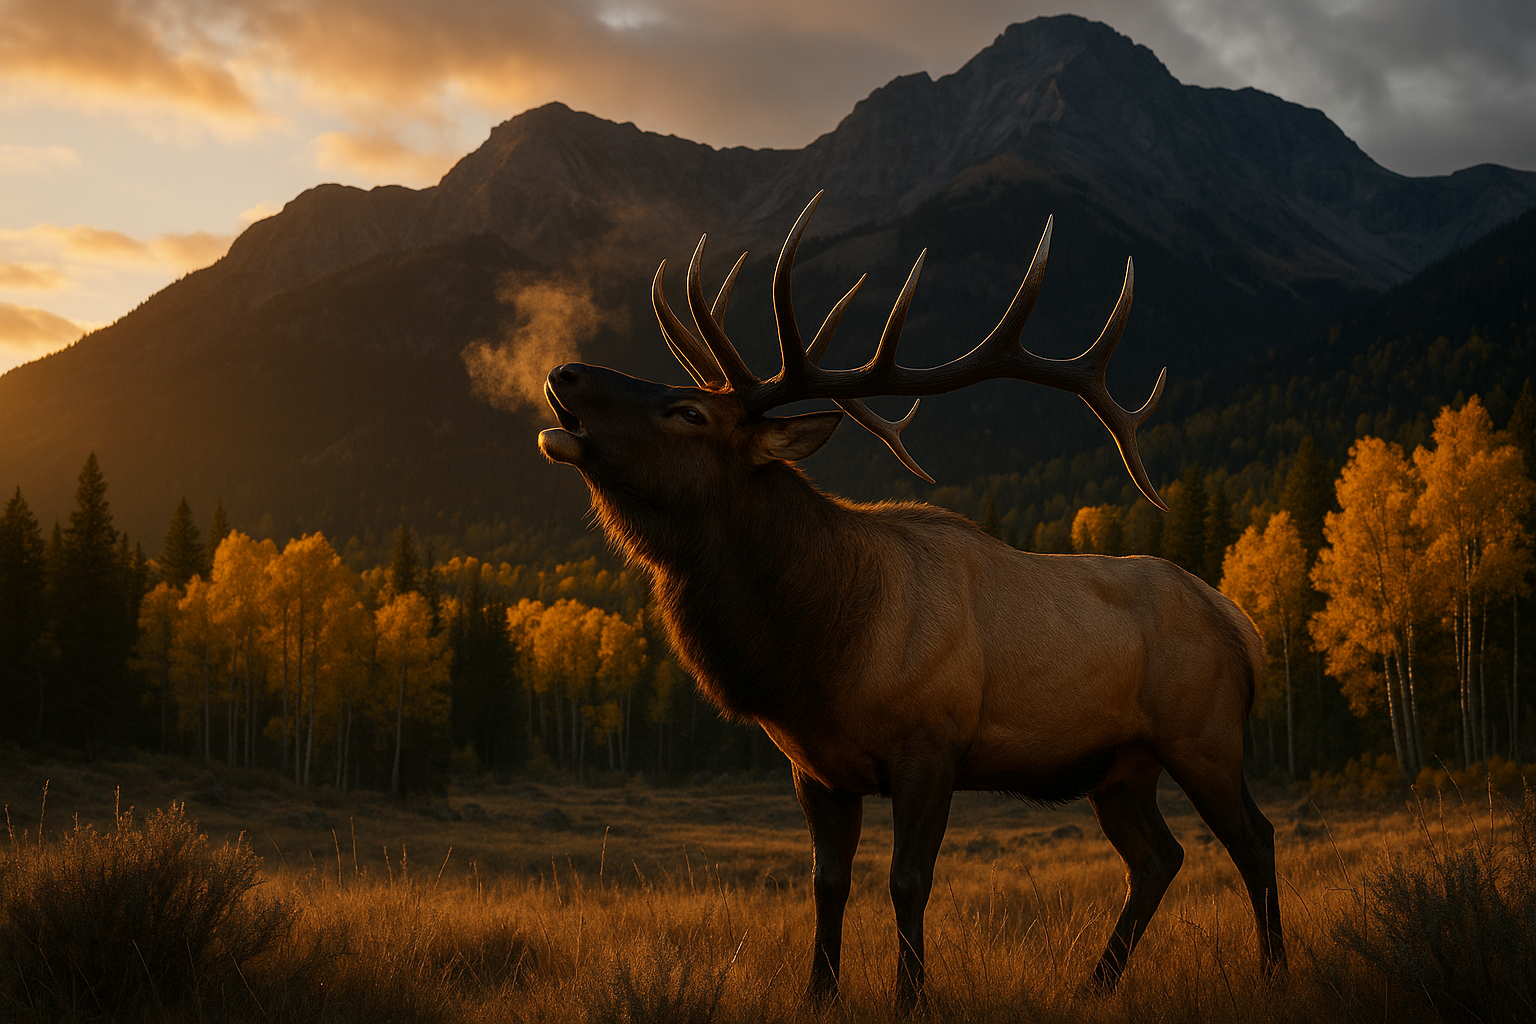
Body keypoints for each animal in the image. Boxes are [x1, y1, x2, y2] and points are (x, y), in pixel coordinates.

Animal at [536, 193, 1284, 1009]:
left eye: (688, 412)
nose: (565, 371)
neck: (821, 650)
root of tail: (1241, 625)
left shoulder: (930, 744)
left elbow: (908, 882)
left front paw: (912, 997)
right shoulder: (815, 767)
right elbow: (827, 883)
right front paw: (818, 995)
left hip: (1205, 734)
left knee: (1254, 838)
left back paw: (1274, 971)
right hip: (1120, 767)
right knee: (1158, 856)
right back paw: (1095, 984)